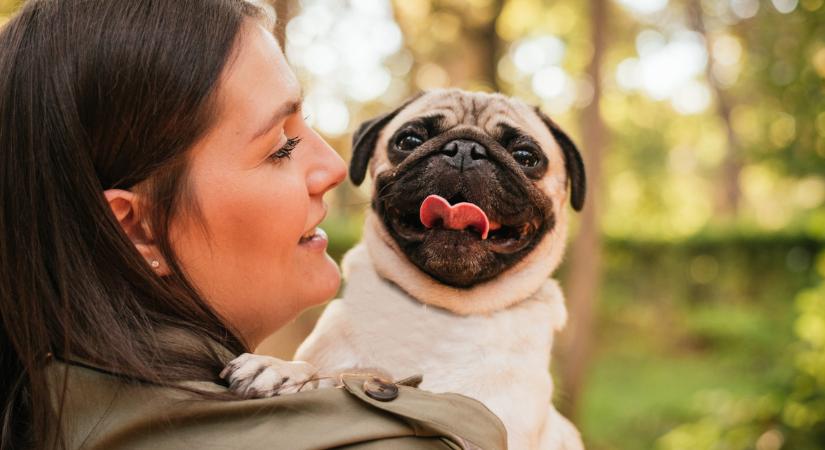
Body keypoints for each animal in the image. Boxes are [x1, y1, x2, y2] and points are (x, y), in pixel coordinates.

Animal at [222, 89, 584, 450]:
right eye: (409, 140)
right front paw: (282, 369)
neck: (442, 309)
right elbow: (323, 375)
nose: (465, 149)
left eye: (525, 156)